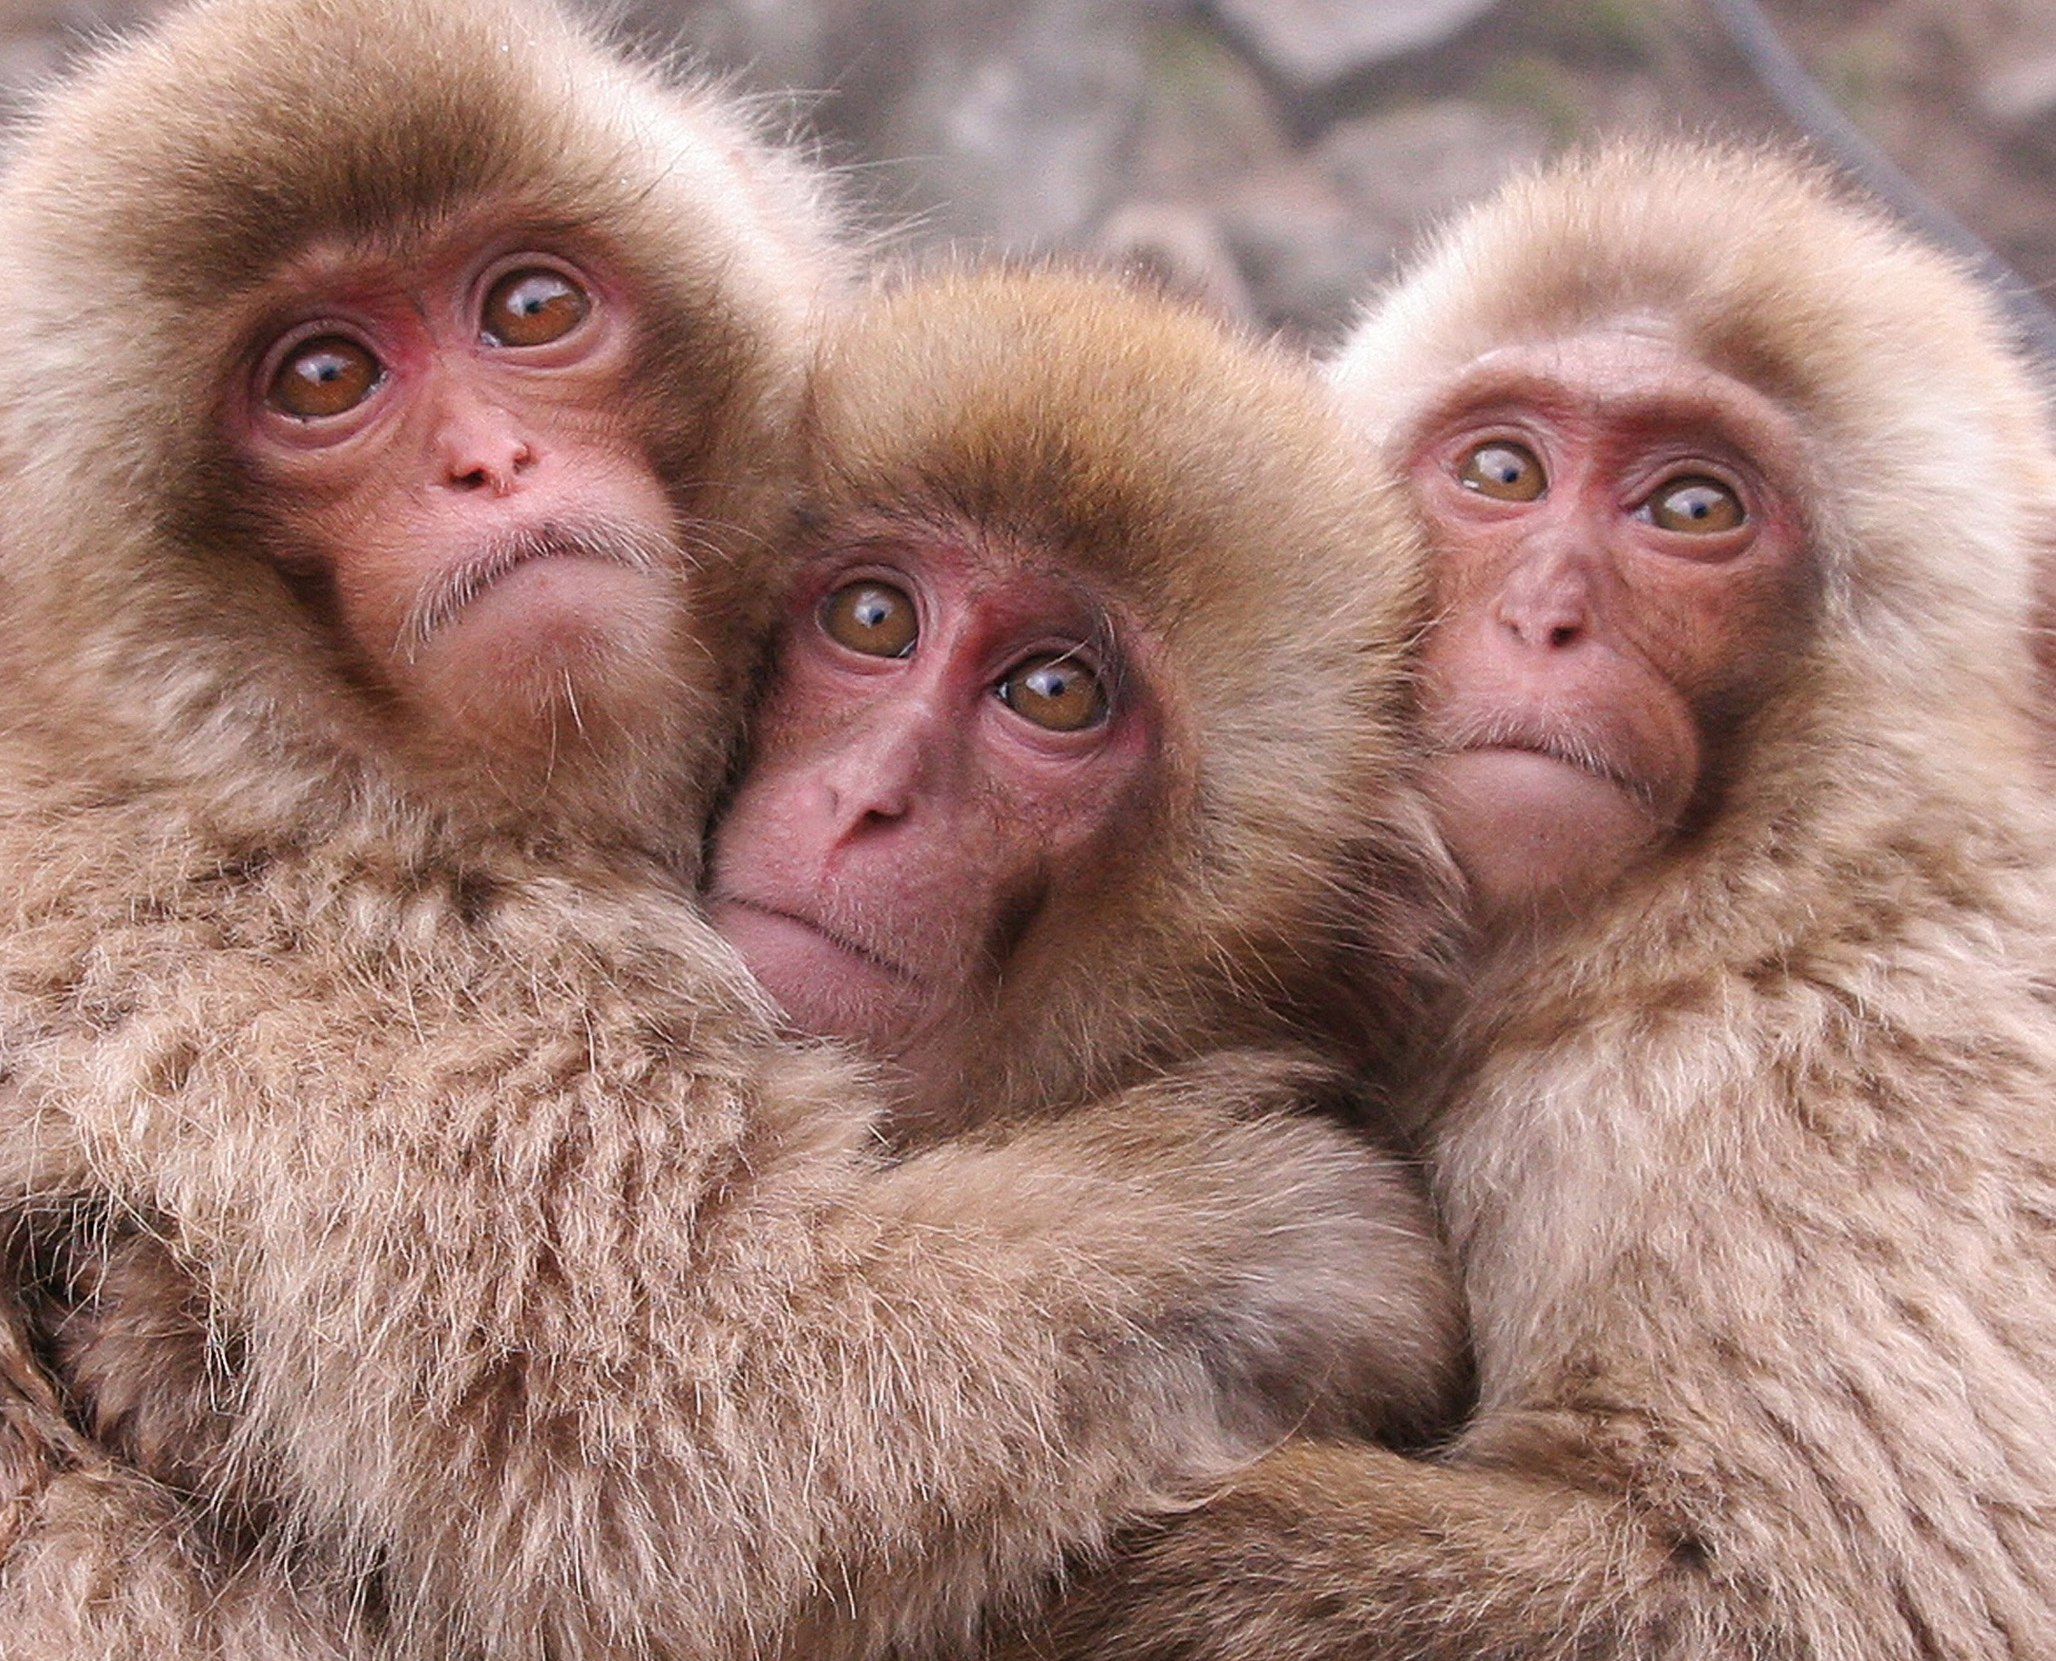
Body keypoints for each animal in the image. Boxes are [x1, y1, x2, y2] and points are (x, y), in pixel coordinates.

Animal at [0, 2, 1469, 1655]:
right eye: (322, 378)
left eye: (529, 306)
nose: (489, 464)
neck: (258, 749)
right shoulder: (328, 961)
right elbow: (657, 1447)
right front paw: (1305, 1237)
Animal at [979, 140, 2056, 1661]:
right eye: (1503, 470)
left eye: (1695, 509)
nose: (1544, 614)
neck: (1747, 913)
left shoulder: (1794, 1100)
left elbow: (1814, 1592)